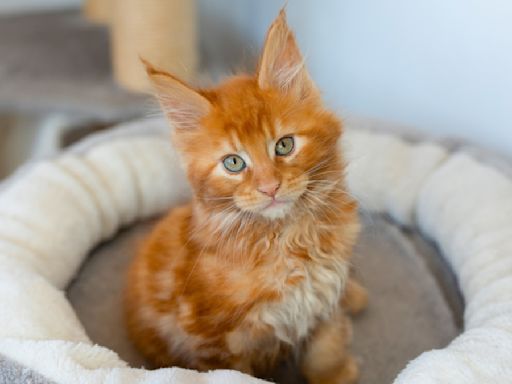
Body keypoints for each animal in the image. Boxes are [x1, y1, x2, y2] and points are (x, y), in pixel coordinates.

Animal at [125, 9, 366, 384]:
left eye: (284, 145)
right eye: (234, 163)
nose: (270, 187)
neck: (287, 239)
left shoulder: (323, 302)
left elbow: (326, 347)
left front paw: (335, 373)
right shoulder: (213, 342)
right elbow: (236, 374)